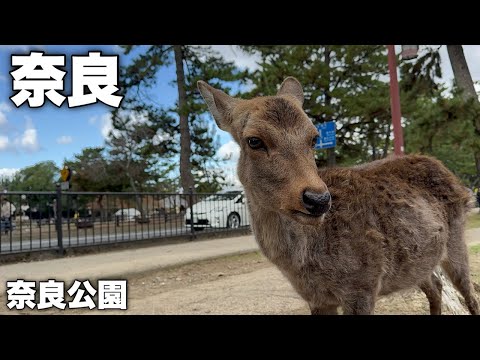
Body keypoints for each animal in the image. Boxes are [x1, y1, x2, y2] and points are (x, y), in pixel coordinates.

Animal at [197, 76, 478, 316]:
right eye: (254, 140)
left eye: (314, 137)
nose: (318, 199)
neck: (302, 264)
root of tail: (456, 180)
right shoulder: (317, 298)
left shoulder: (364, 285)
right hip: (416, 262)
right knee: (435, 284)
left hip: (456, 238)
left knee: (468, 293)